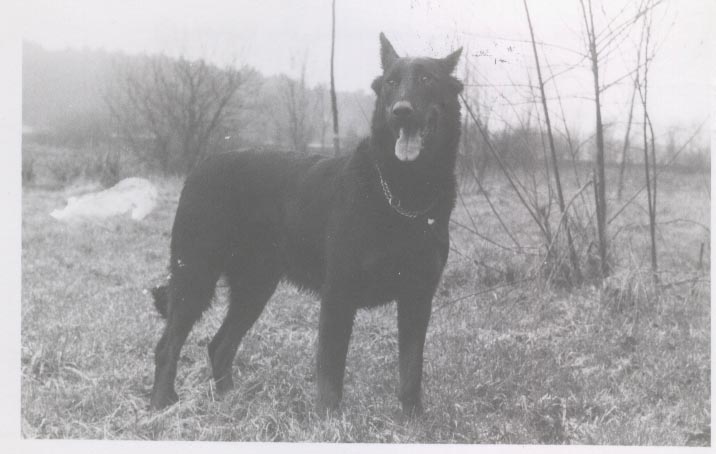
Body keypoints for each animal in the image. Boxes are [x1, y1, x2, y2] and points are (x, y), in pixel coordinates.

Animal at [151, 33, 464, 414]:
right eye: (391, 83)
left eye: (427, 80)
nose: (401, 111)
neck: (402, 190)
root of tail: (199, 168)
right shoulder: (338, 295)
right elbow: (330, 371)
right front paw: (328, 419)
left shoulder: (417, 298)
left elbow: (411, 370)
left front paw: (413, 418)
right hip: (196, 276)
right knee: (169, 345)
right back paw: (161, 404)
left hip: (255, 287)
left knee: (220, 344)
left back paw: (228, 399)